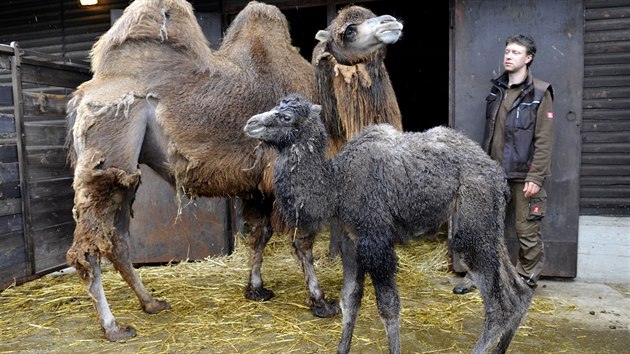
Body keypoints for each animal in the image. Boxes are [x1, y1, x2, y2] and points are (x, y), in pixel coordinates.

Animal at [244, 94, 536, 354]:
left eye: (286, 116)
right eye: (276, 105)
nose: (250, 123)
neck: (336, 184)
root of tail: (498, 178)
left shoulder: (376, 240)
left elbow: (388, 306)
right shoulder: (352, 241)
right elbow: (349, 298)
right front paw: (342, 347)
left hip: (472, 223)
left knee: (499, 304)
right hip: (489, 226)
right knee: (519, 290)